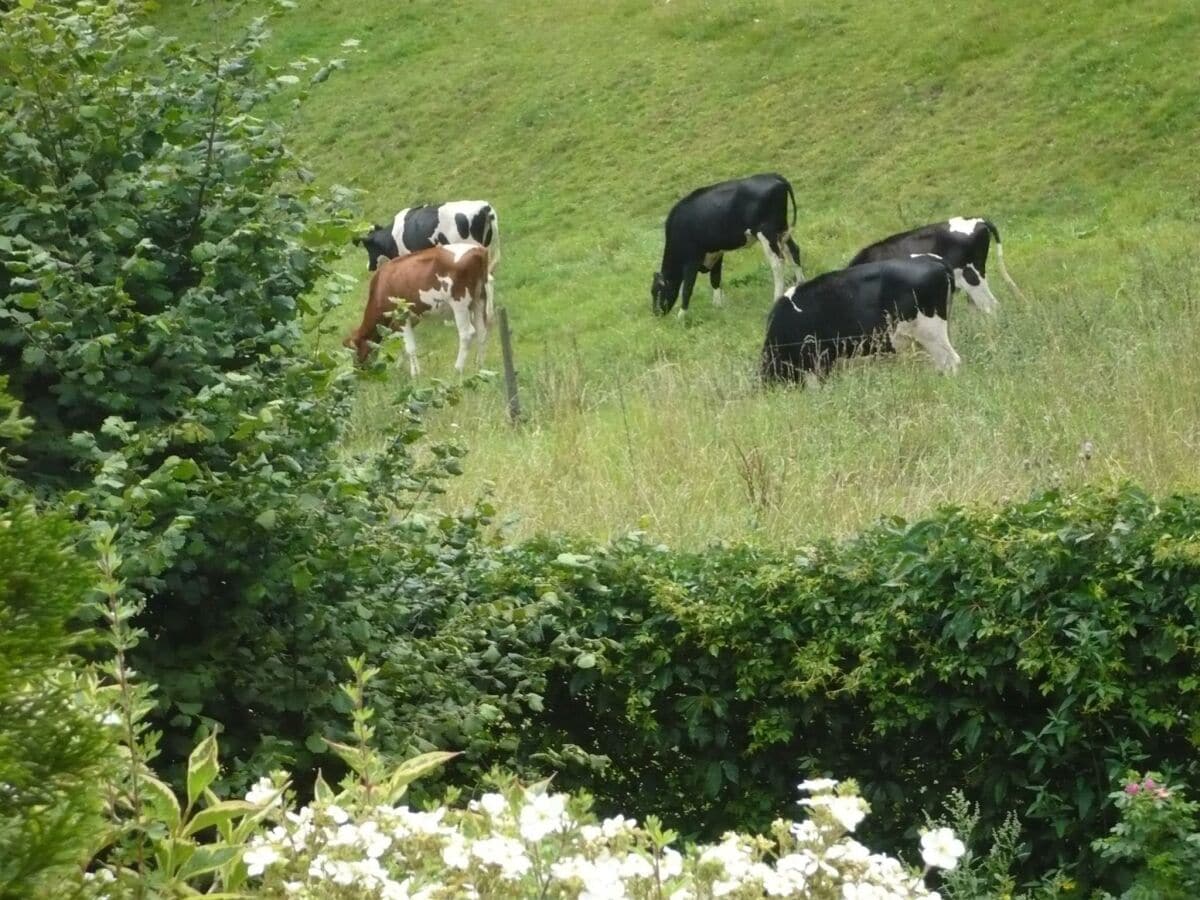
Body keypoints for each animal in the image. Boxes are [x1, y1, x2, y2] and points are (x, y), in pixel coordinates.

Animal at [343, 243, 492, 376]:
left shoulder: (401, 315)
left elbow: (410, 347)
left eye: (353, 352)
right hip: (480, 299)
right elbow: (404, 344)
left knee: (467, 334)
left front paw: (415, 374)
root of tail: (478, 249)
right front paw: (400, 367)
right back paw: (480, 366)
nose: (357, 371)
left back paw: (458, 369)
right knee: (482, 331)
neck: (381, 286)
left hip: (460, 303)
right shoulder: (413, 317)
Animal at [652, 174, 801, 319]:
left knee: (778, 262)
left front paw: (681, 316)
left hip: (767, 232)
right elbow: (715, 279)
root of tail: (774, 176)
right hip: (781, 229)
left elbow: (687, 288)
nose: (656, 313)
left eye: (657, 292)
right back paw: (800, 284)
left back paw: (776, 298)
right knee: (794, 251)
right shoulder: (716, 252)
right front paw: (717, 306)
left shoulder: (692, 259)